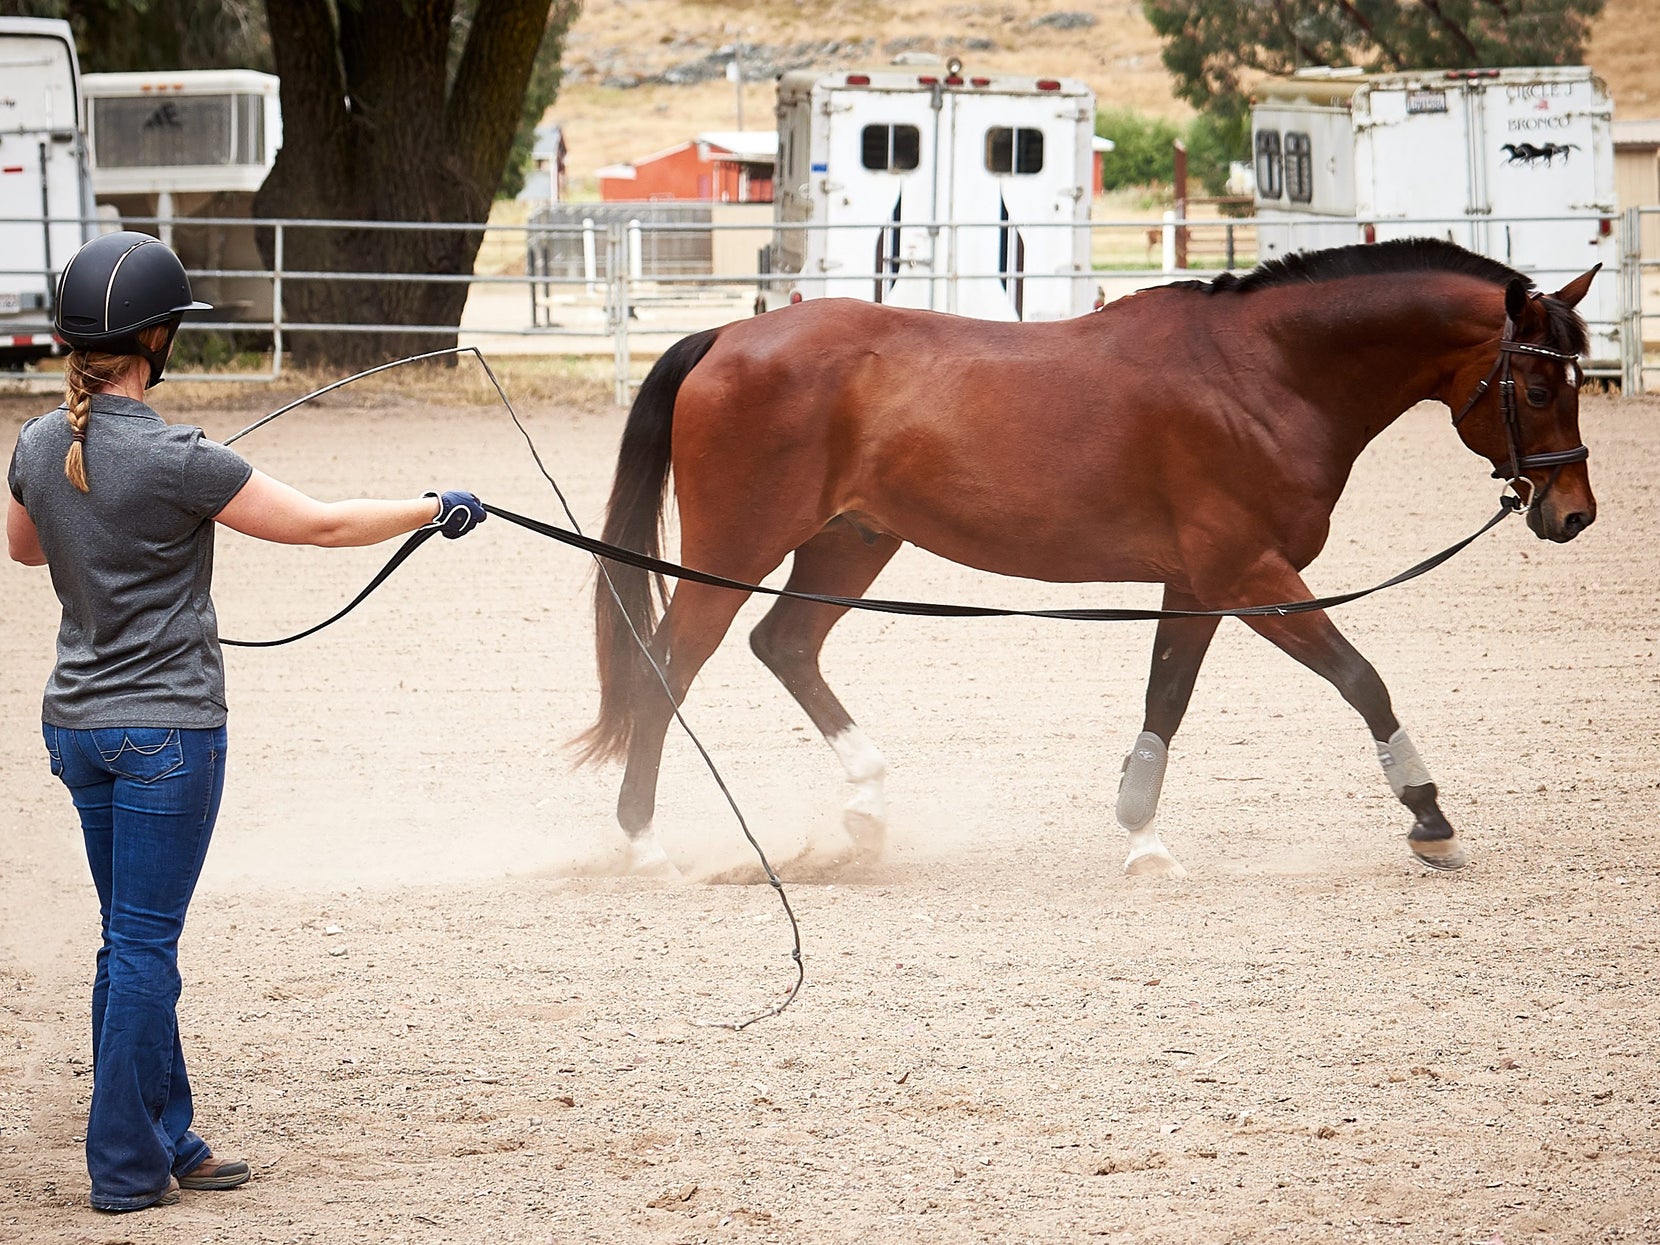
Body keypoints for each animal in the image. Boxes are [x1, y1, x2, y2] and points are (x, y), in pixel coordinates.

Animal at [577, 240, 1600, 876]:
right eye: (1537, 385)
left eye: (1582, 379)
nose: (1574, 514)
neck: (1263, 372)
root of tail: (729, 334)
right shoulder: (1250, 575)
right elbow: (1361, 678)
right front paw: (1429, 817)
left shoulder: (1195, 583)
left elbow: (1165, 701)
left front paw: (1142, 836)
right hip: (742, 543)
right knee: (669, 665)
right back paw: (643, 845)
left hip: (852, 540)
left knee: (784, 644)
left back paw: (865, 806)